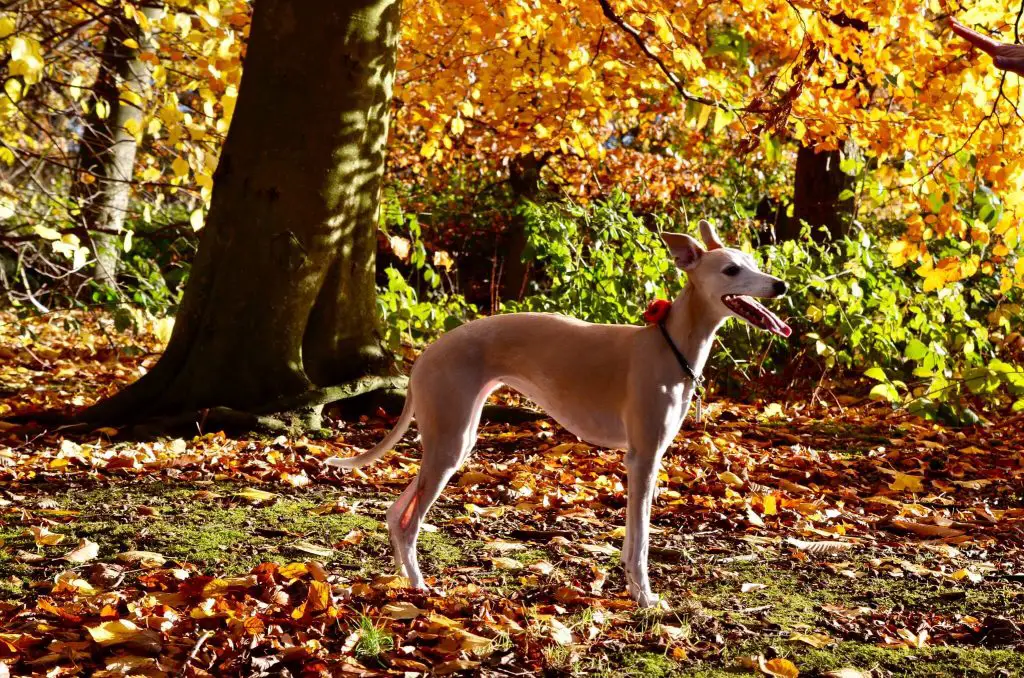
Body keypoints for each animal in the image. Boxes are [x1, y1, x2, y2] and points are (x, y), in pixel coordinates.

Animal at [327, 220, 790, 606]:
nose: (781, 285)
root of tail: (424, 357)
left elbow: (631, 538)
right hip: (449, 441)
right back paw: (420, 587)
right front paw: (644, 597)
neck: (669, 343)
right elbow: (640, 538)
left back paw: (404, 580)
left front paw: (631, 588)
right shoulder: (643, 457)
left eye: (754, 263)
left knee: (394, 514)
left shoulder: (644, 460)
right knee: (408, 522)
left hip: (455, 439)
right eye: (731, 270)